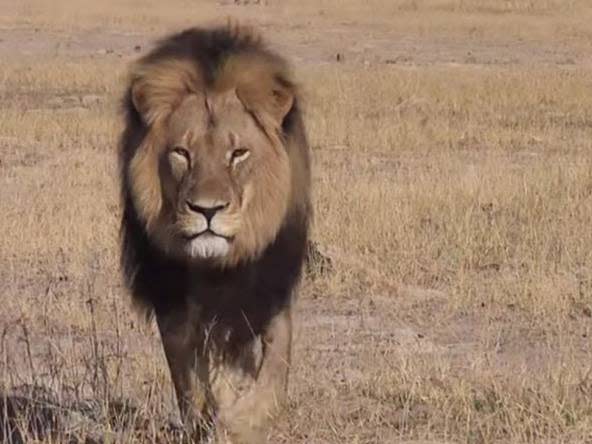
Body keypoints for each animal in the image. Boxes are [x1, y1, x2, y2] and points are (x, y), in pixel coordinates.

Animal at [118, 23, 312, 444]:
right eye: (181, 153)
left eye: (238, 154)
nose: (207, 210)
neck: (217, 268)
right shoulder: (172, 297)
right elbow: (189, 378)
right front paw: (210, 417)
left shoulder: (267, 288)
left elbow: (274, 370)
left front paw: (243, 420)